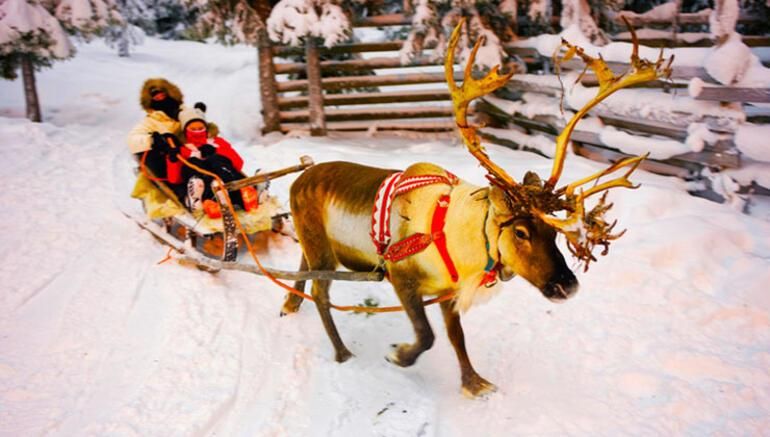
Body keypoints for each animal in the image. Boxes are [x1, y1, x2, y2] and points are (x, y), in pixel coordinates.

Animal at [281, 19, 672, 398]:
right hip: (320, 245)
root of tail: (298, 179)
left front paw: (473, 382)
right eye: (521, 231)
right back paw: (341, 351)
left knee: (305, 270)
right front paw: (399, 355)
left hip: (316, 243)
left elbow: (456, 336)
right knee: (320, 292)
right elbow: (427, 335)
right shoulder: (401, 277)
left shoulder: (447, 290)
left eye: (554, 231)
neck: (457, 237)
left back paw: (290, 305)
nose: (567, 286)